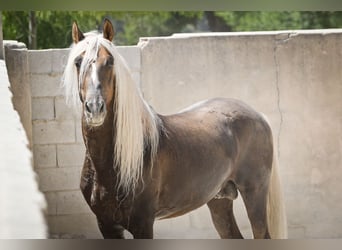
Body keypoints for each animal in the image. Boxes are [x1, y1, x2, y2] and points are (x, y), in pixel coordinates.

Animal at [62, 19, 288, 238]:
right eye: (77, 62)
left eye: (110, 62)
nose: (95, 108)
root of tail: (257, 114)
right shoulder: (107, 226)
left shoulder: (143, 224)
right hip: (219, 200)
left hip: (254, 193)